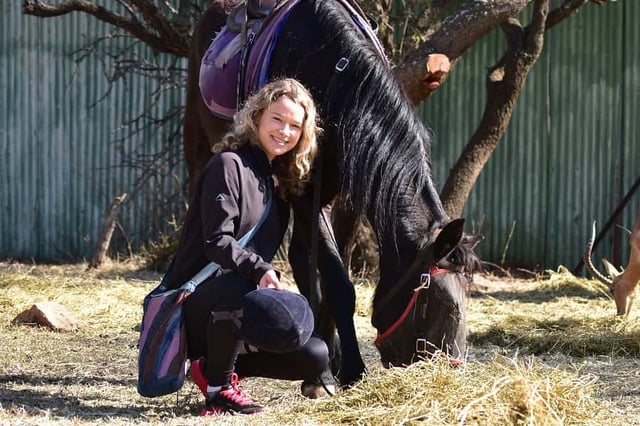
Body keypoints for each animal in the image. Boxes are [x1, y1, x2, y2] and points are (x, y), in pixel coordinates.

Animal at [183, 0, 482, 394]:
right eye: (436, 301)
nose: (450, 370)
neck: (339, 80)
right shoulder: (304, 192)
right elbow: (340, 285)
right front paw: (347, 370)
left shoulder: (350, 197)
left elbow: (331, 272)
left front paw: (331, 364)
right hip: (202, 148)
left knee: (300, 257)